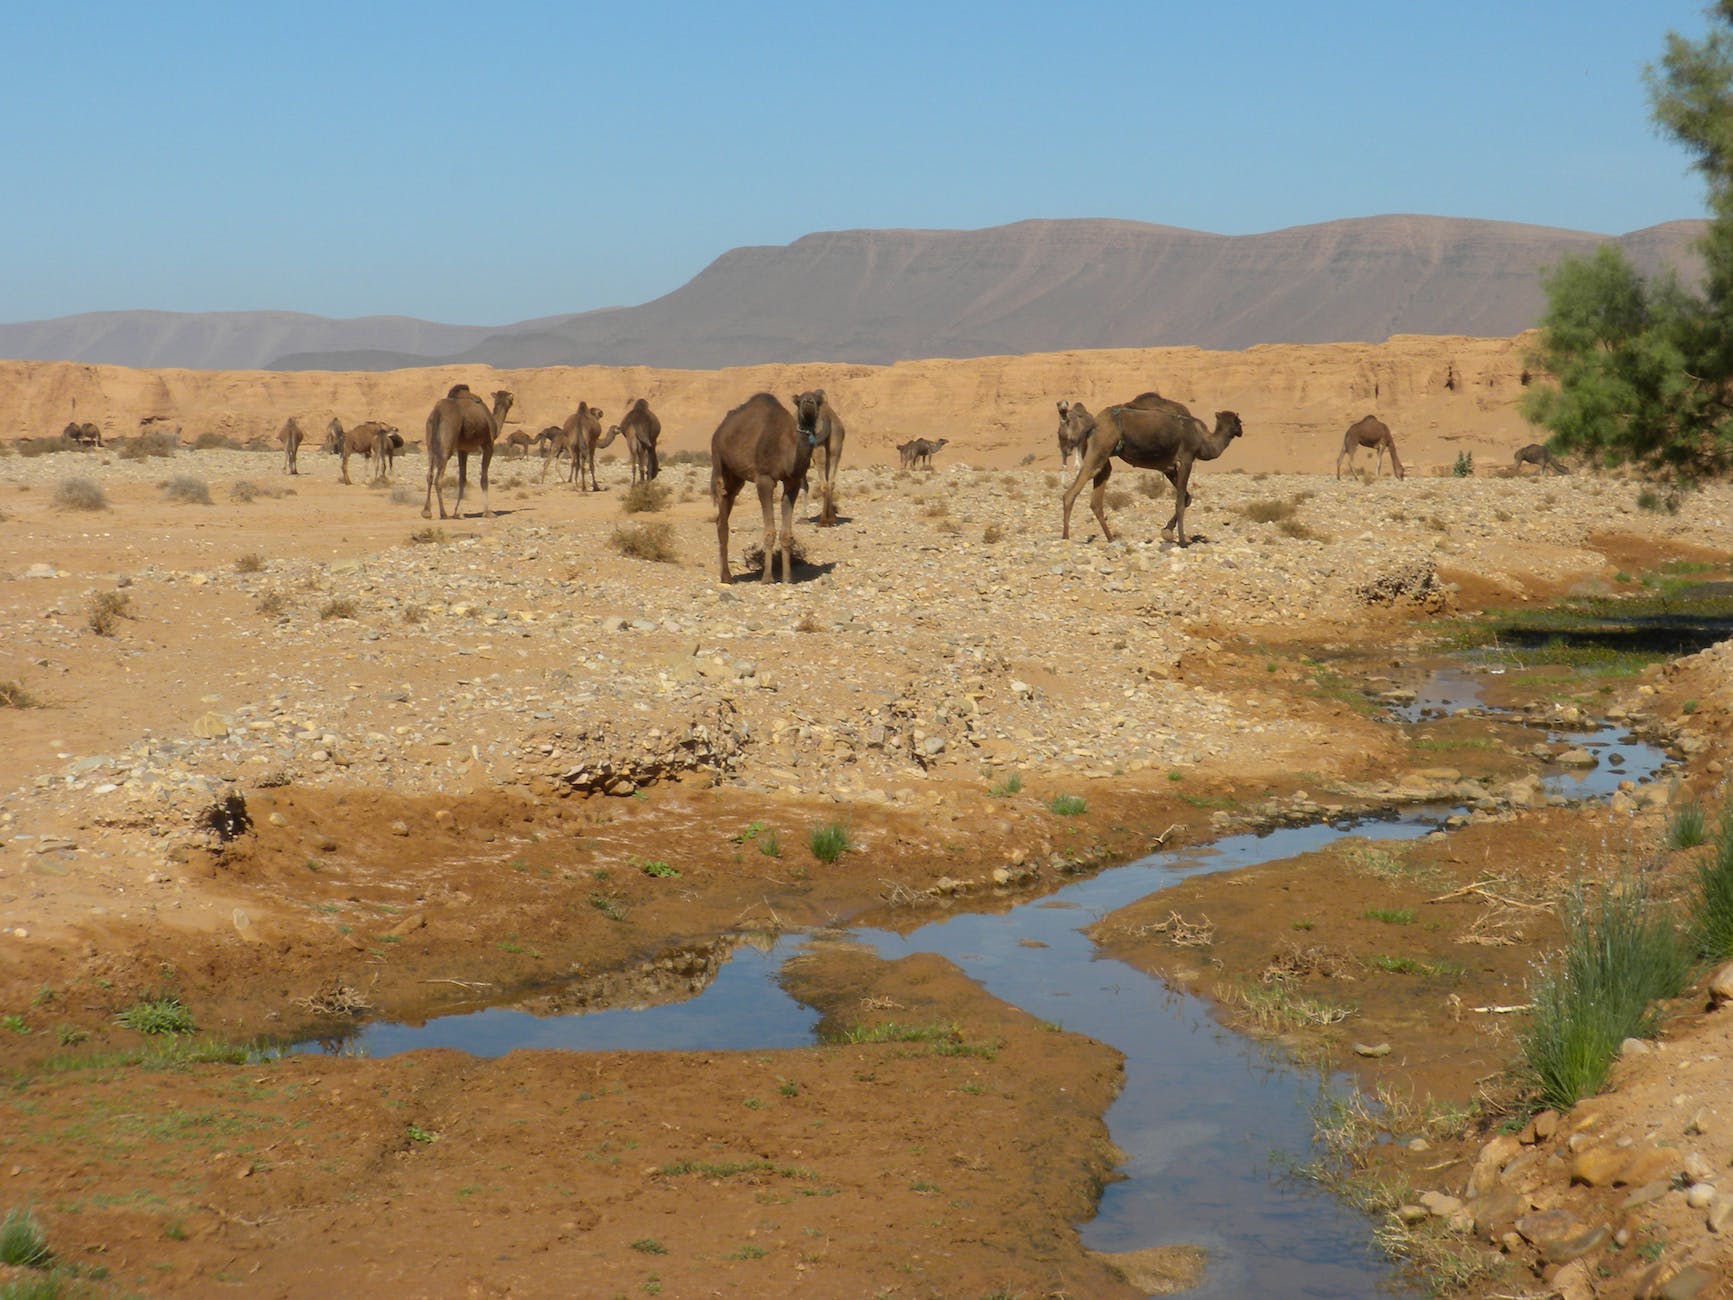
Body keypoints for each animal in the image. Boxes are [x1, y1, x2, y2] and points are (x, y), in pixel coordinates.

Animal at [422, 381, 509, 520]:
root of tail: (437, 412)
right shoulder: (488, 445)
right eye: (510, 397)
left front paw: (459, 512)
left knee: (429, 475)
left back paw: (426, 512)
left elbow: (462, 478)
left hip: (430, 441)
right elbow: (484, 478)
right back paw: (443, 514)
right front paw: (488, 512)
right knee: (438, 478)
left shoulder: (463, 449)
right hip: (447, 441)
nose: (512, 397)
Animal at [713, 391, 828, 585]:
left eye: (818, 400)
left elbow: (786, 533)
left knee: (728, 501)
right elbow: (769, 531)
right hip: (719, 461)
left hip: (737, 478)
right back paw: (726, 577)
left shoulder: (792, 481)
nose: (809, 402)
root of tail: (720, 429)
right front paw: (767, 578)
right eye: (800, 400)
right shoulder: (764, 480)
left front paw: (788, 577)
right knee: (722, 507)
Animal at [790, 391, 842, 523]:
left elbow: (804, 486)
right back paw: (831, 518)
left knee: (823, 483)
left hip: (818, 450)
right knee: (830, 481)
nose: (809, 401)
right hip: (835, 447)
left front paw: (803, 517)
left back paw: (823, 521)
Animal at [1060, 400, 1240, 547]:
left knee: (1096, 498)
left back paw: (1110, 538)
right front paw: (1182, 542)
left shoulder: (1169, 467)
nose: (1241, 431)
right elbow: (1180, 501)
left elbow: (1186, 498)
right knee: (1072, 492)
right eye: (1237, 421)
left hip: (1103, 455)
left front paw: (1167, 531)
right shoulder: (1186, 459)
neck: (1203, 440)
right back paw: (1065, 537)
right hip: (1100, 447)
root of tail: (1094, 423)